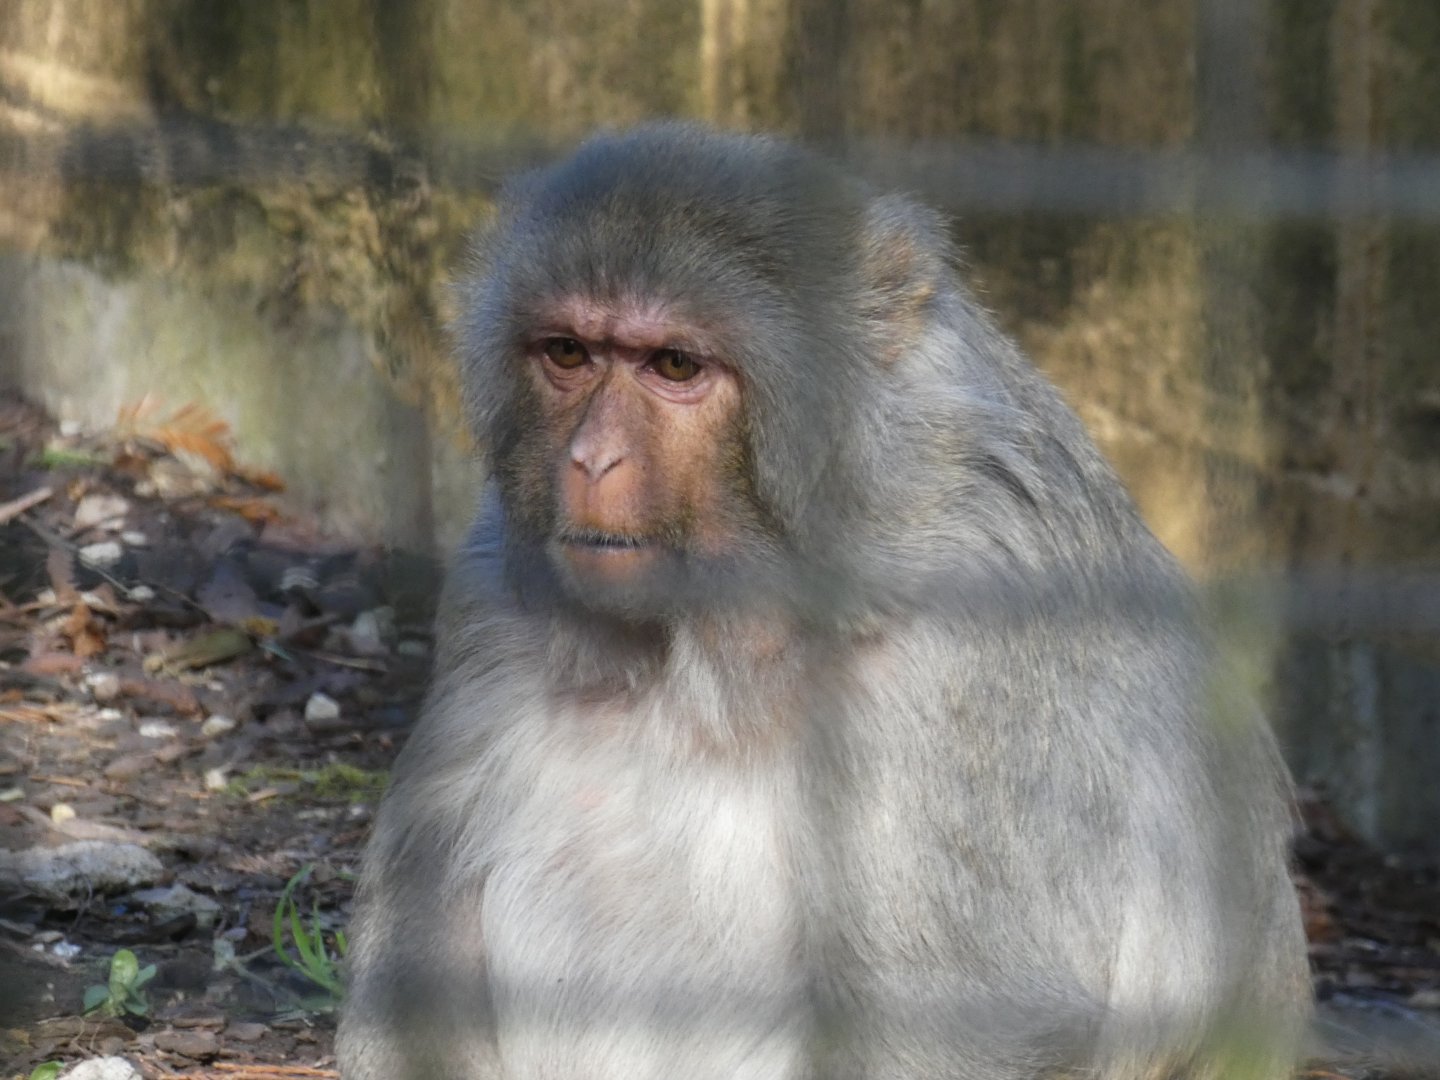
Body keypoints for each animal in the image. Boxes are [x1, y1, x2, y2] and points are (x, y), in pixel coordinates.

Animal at [336, 123, 1311, 1080]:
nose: (590, 460)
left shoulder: (963, 654)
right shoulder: (495, 583)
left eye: (674, 364)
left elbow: (959, 1023)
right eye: (569, 353)